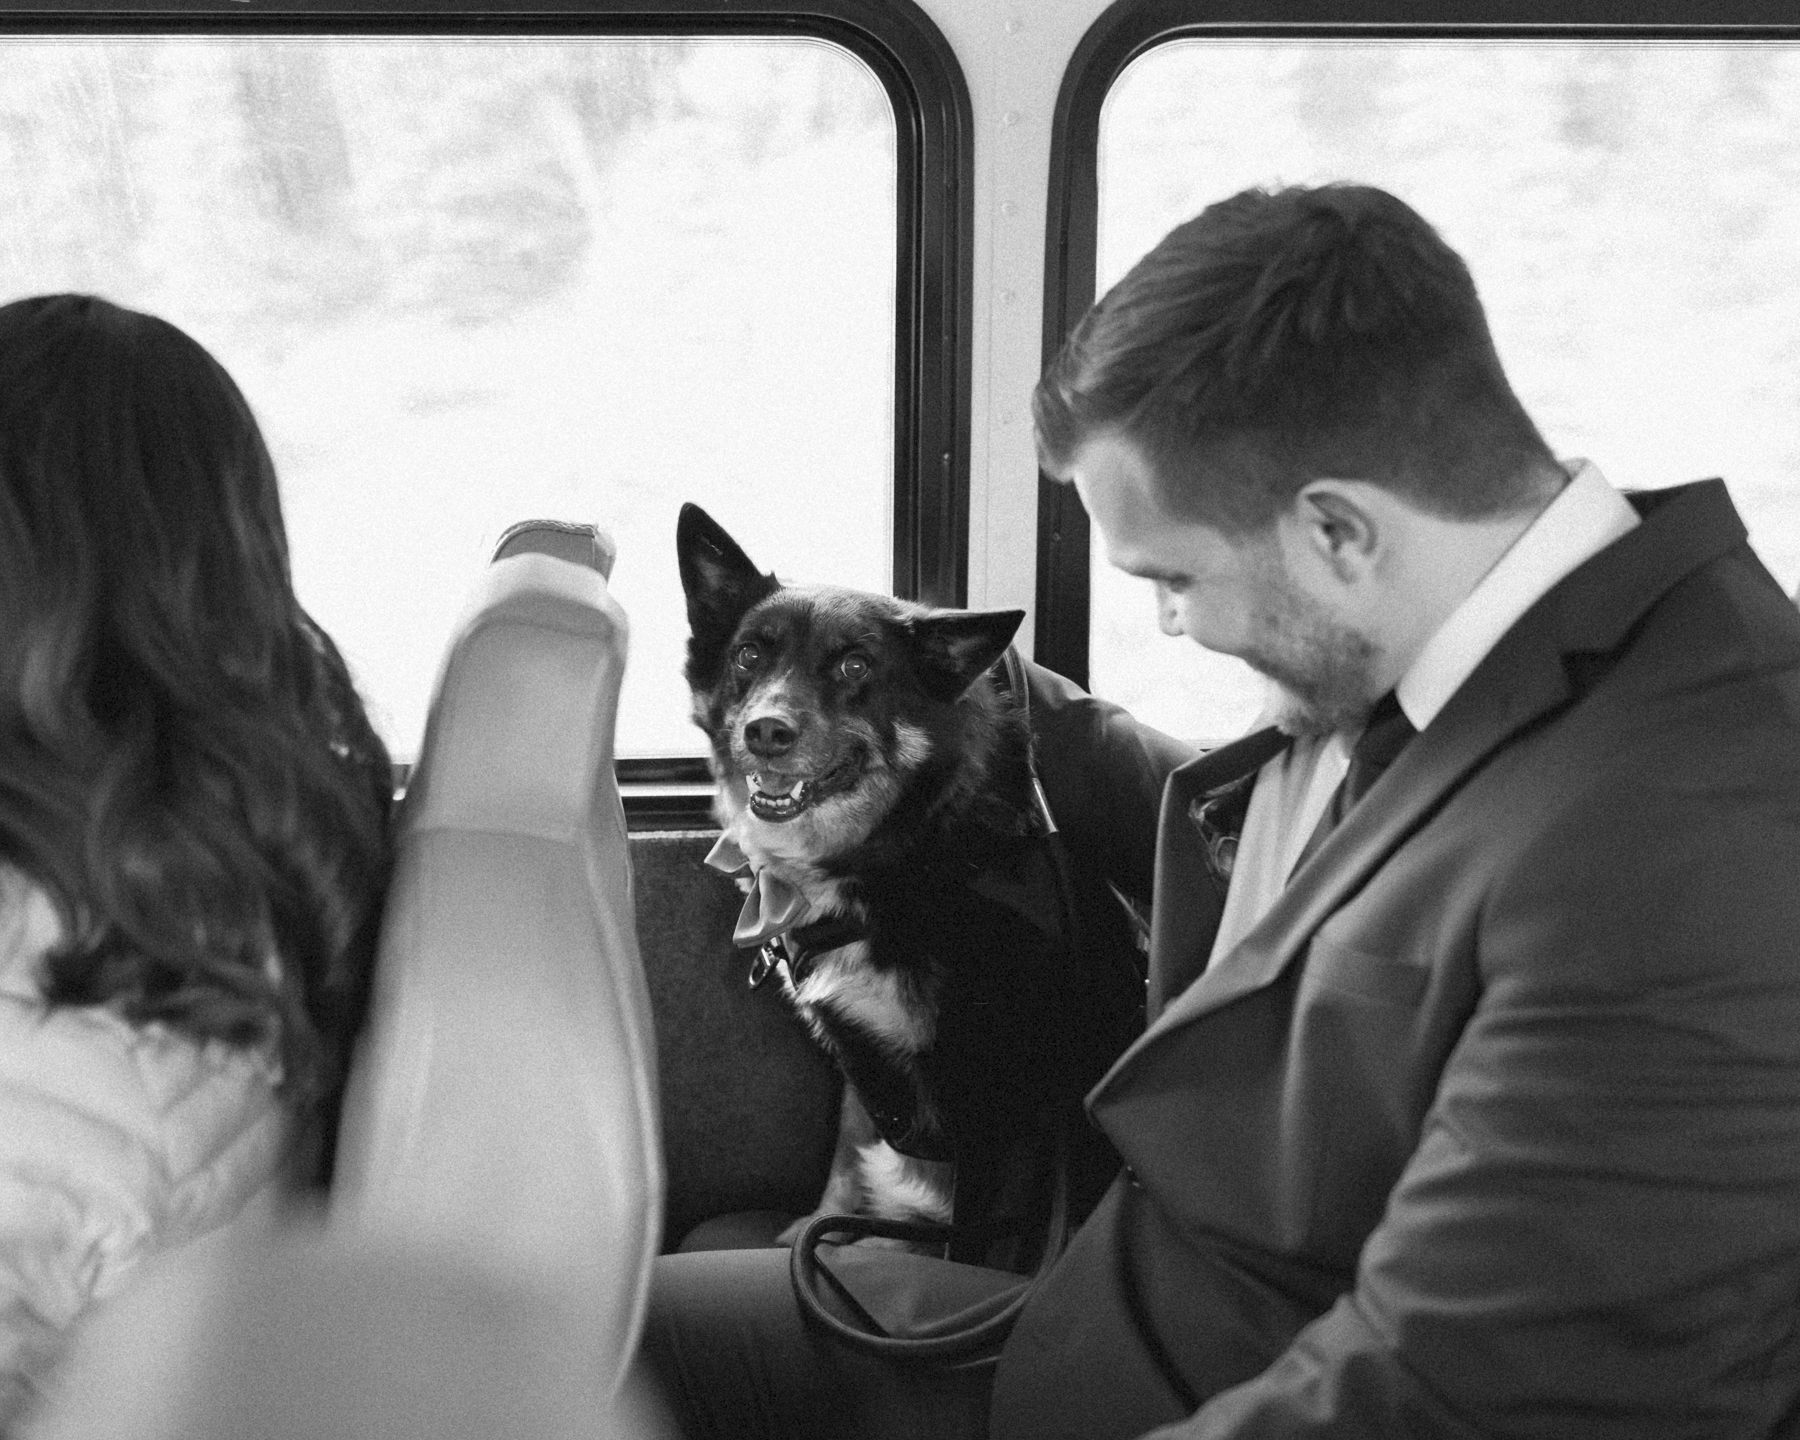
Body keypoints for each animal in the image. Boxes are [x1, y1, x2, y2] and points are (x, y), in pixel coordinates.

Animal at [676, 507, 1123, 1260]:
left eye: (854, 666)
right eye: (749, 656)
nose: (765, 731)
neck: (908, 848)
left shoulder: (996, 1098)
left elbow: (976, 1228)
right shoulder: (861, 1068)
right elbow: (846, 1154)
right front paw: (818, 1225)